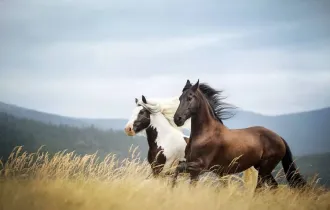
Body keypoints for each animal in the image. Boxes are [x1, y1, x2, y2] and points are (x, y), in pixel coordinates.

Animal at [173, 79, 306, 189]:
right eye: (180, 98)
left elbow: (178, 169)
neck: (205, 134)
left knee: (259, 188)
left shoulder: (200, 166)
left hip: (265, 168)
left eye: (190, 98)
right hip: (262, 168)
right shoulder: (193, 170)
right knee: (274, 186)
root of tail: (279, 138)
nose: (177, 119)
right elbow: (178, 171)